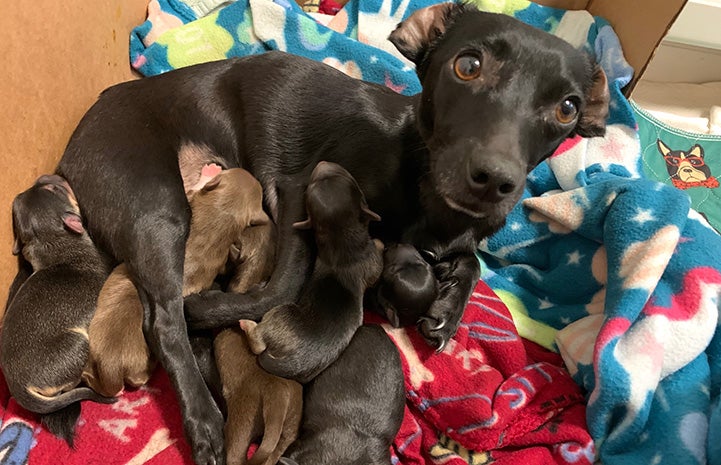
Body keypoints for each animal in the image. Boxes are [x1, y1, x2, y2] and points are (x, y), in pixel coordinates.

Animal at [1, 174, 115, 442]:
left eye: (46, 186)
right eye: (53, 188)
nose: (47, 175)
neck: (57, 248)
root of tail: (17, 386)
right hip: (79, 343)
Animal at [240, 161, 382, 382]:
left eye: (346, 178)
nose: (322, 163)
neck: (340, 238)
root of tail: (292, 364)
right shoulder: (371, 260)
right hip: (281, 314)